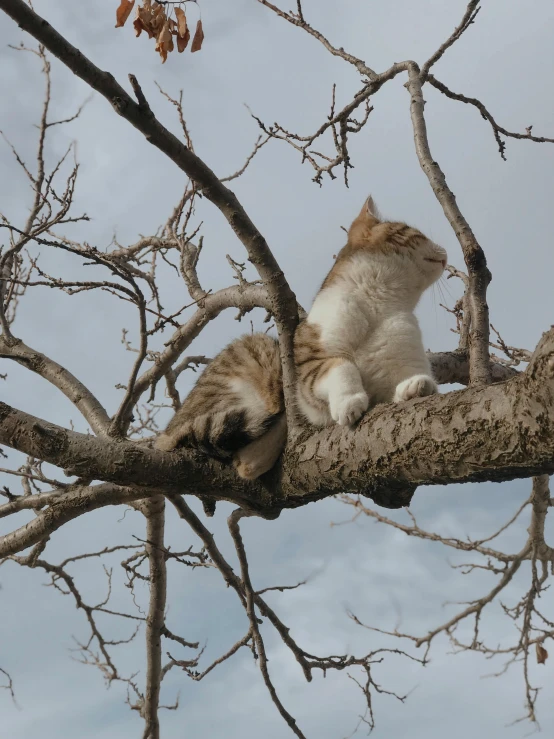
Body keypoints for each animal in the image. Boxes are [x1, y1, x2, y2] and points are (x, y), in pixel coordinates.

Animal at [154, 197, 444, 482]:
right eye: (415, 232)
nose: (444, 250)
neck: (381, 303)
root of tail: (166, 431)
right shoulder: (310, 364)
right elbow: (342, 365)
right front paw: (349, 401)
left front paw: (416, 387)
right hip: (259, 353)